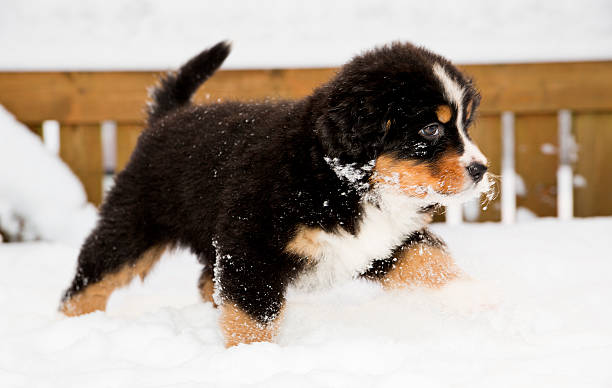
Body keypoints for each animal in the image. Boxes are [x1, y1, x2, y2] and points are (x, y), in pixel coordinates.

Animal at [61, 41, 492, 348]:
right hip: (133, 223)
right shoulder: (253, 247)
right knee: (91, 280)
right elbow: (252, 316)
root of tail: (167, 116)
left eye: (466, 124)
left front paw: (475, 297)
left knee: (206, 282)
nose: (481, 169)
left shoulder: (381, 239)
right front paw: (254, 358)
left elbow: (428, 260)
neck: (333, 176)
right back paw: (72, 329)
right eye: (431, 130)